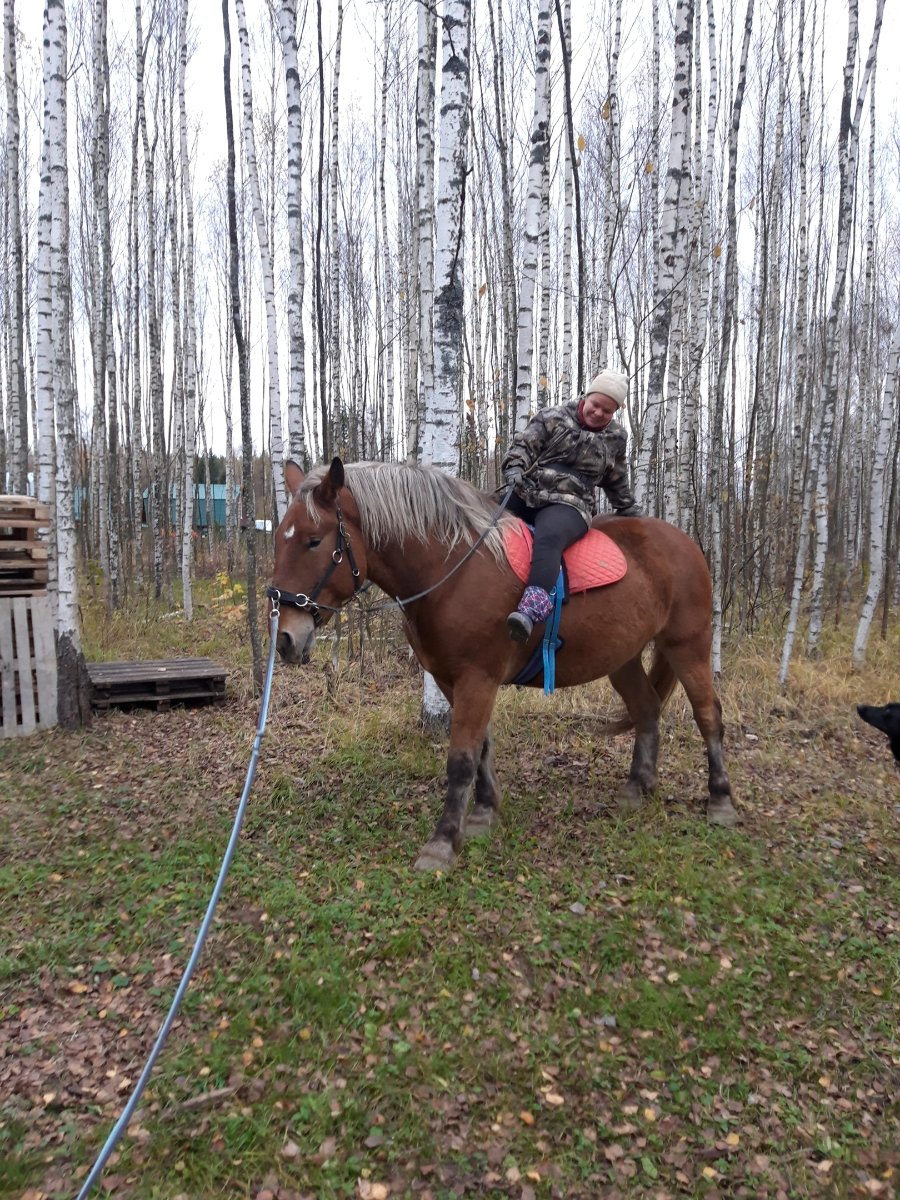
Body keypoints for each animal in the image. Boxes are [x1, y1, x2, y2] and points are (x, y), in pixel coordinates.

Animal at [270, 458, 737, 871]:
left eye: (314, 540)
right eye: (280, 539)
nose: (286, 638)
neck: (450, 569)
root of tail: (683, 542)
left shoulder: (477, 678)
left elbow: (460, 758)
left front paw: (443, 842)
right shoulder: (452, 679)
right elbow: (481, 749)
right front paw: (482, 812)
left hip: (688, 645)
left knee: (708, 715)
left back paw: (720, 799)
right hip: (622, 657)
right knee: (646, 709)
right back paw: (638, 786)